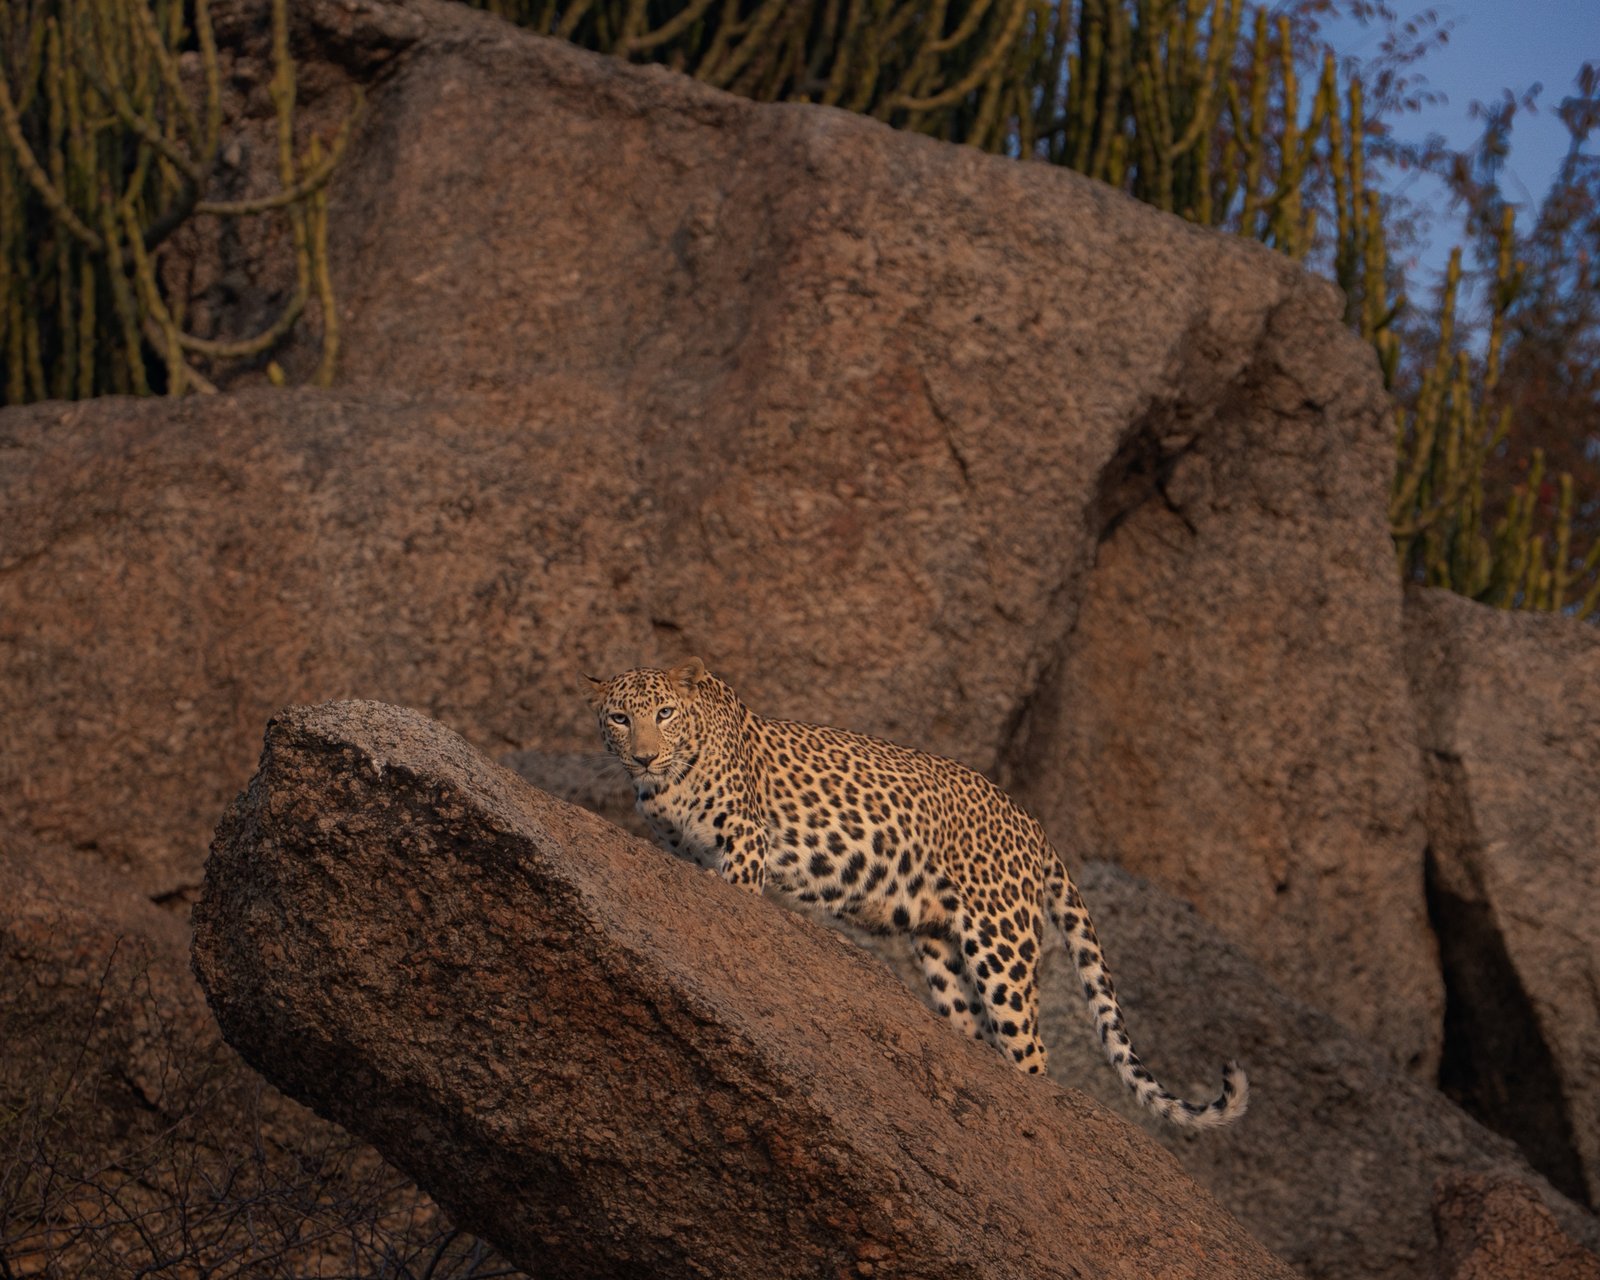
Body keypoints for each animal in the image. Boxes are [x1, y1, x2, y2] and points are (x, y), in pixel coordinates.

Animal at [585, 656, 1248, 1130]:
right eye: (620, 719)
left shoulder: (745, 846)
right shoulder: (685, 851)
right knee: (976, 1035)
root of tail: (1033, 825)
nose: (643, 757)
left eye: (664, 713)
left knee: (1032, 1051)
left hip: (1002, 945)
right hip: (942, 951)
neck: (669, 783)